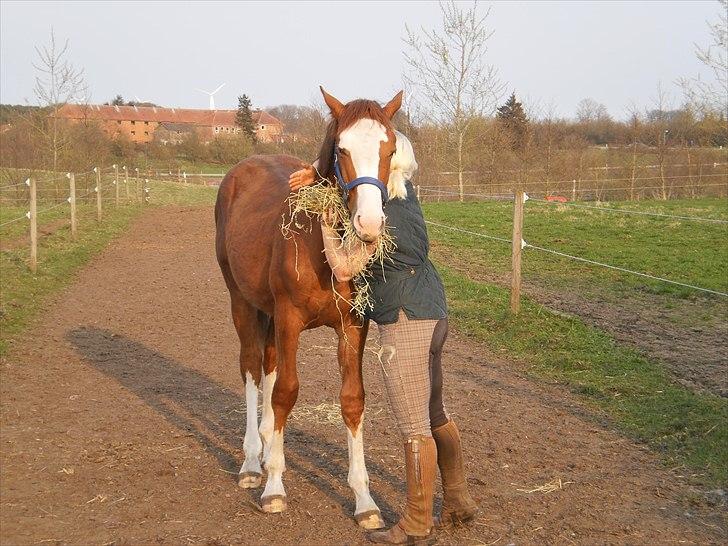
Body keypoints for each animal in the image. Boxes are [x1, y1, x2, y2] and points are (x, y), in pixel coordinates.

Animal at [215, 86, 404, 528]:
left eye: (389, 149)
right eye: (342, 148)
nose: (369, 225)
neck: (319, 246)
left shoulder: (352, 326)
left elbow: (352, 400)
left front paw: (364, 500)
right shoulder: (289, 319)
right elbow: (286, 392)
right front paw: (274, 487)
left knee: (267, 364)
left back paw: (267, 444)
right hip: (242, 303)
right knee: (252, 368)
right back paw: (252, 462)